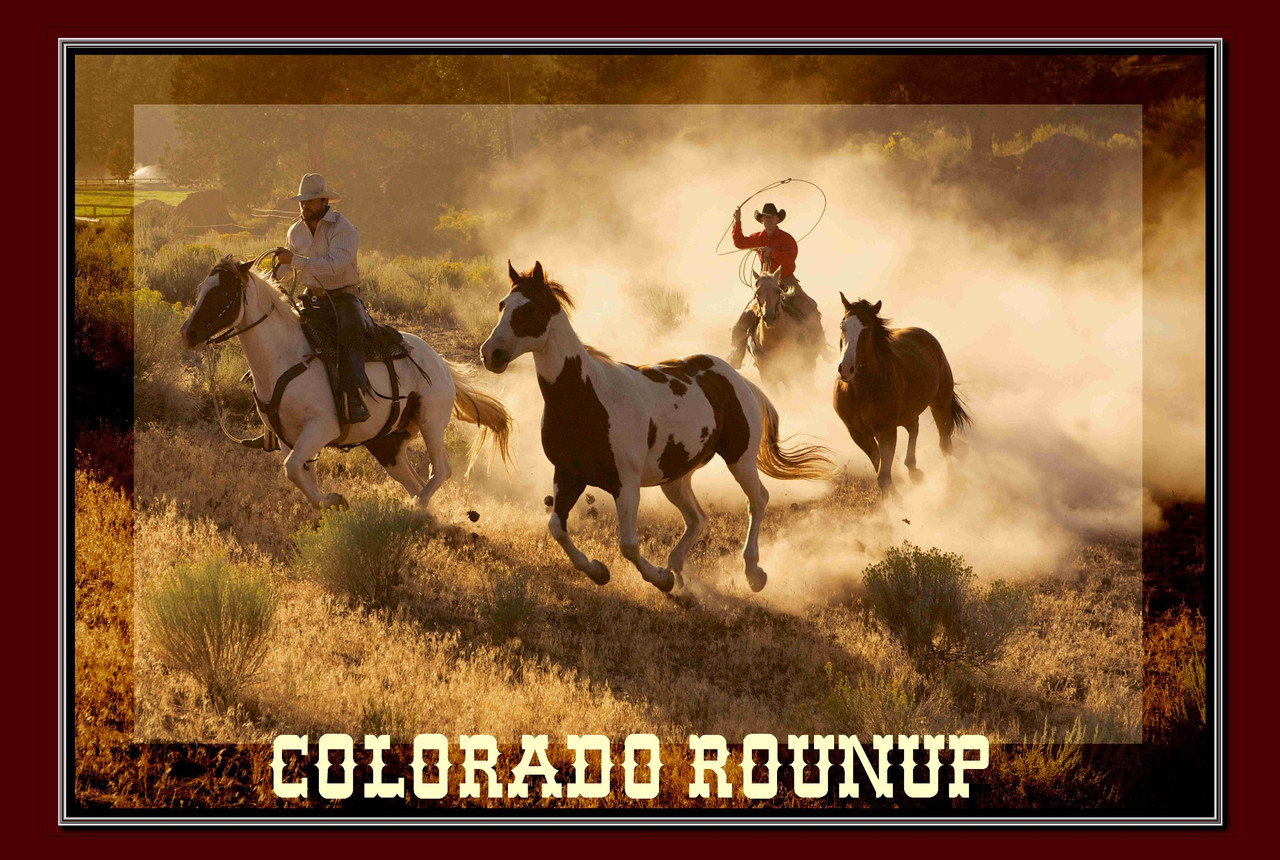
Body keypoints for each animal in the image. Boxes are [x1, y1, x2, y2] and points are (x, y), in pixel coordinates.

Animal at [179, 255, 514, 511]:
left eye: (223, 294)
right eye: (201, 290)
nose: (188, 334)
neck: (284, 358)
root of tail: (440, 362)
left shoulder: (321, 427)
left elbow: (291, 468)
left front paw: (334, 501)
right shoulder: (290, 437)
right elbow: (300, 472)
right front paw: (329, 503)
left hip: (430, 421)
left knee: (440, 471)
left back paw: (417, 506)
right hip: (386, 443)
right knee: (414, 480)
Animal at [478, 262, 829, 593]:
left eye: (529, 308)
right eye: (502, 305)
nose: (490, 353)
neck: (586, 397)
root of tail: (737, 379)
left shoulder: (626, 485)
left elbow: (628, 546)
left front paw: (660, 579)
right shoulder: (568, 475)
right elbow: (557, 529)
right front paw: (599, 571)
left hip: (739, 458)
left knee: (757, 499)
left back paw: (752, 572)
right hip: (674, 477)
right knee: (698, 519)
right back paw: (679, 569)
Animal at [829, 294, 967, 501]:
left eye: (867, 330)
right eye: (842, 326)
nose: (846, 369)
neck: (862, 390)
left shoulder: (886, 430)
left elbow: (883, 476)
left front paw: (895, 503)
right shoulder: (858, 433)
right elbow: (879, 467)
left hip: (940, 404)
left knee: (945, 444)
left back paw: (951, 483)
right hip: (908, 412)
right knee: (914, 427)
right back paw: (914, 471)